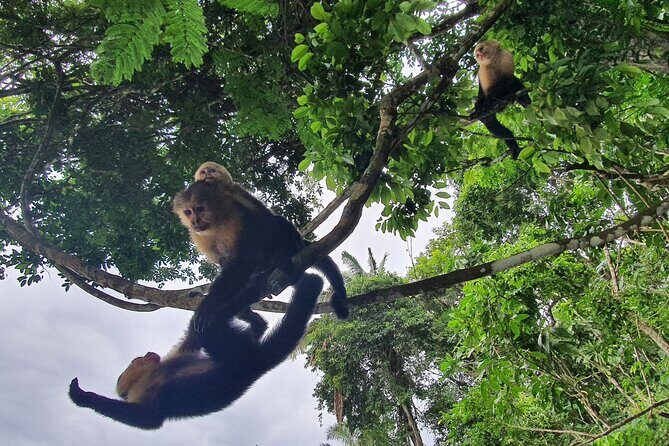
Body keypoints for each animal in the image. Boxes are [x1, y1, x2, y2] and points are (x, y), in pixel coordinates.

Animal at [69, 272, 324, 429]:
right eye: (137, 359)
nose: (148, 354)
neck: (150, 375)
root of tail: (253, 367)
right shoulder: (142, 396)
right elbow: (149, 419)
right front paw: (84, 397)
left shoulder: (175, 355)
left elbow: (190, 339)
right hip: (237, 353)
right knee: (212, 330)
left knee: (205, 326)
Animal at [174, 164, 349, 320]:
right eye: (188, 212)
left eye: (200, 209)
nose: (194, 221)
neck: (216, 222)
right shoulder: (198, 236)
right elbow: (224, 260)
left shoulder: (235, 214)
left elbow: (245, 257)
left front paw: (210, 302)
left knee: (276, 224)